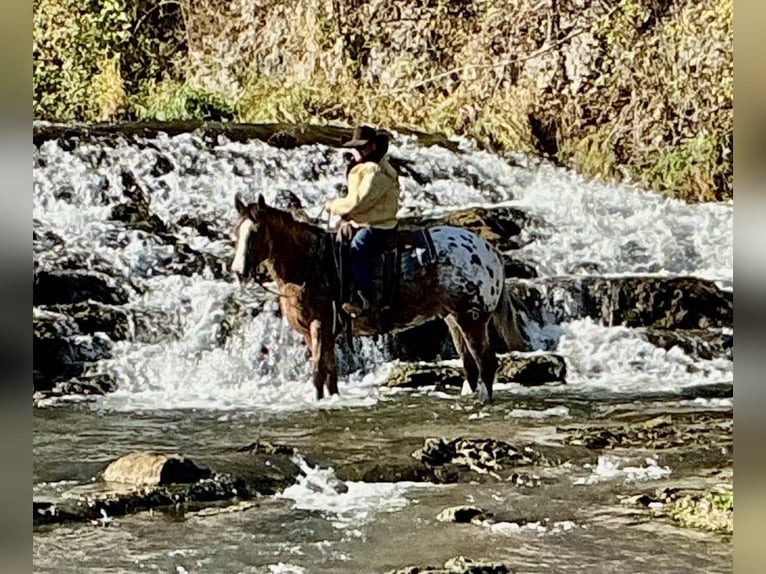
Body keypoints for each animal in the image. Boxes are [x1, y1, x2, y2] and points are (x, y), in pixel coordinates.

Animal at [231, 194, 524, 404]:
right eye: (236, 231)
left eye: (256, 232)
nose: (238, 271)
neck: (310, 263)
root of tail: (488, 250)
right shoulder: (318, 332)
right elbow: (330, 374)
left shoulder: (319, 326)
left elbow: (318, 373)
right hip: (453, 319)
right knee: (470, 365)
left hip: (472, 319)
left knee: (486, 361)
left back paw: (482, 402)